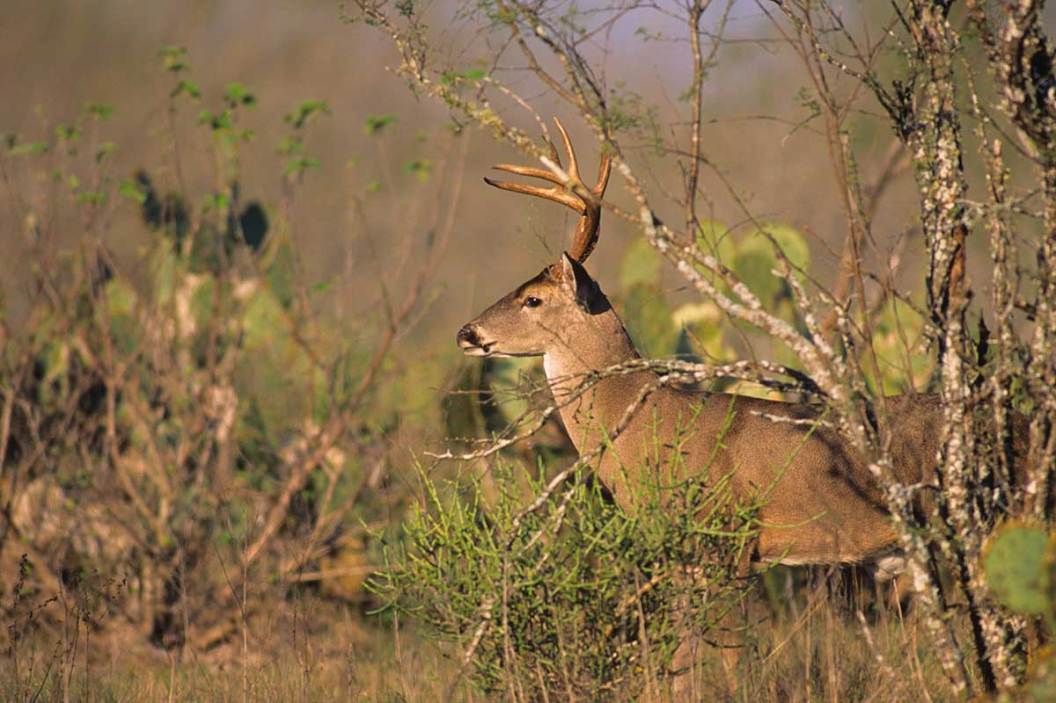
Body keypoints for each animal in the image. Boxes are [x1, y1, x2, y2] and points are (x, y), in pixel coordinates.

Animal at [454, 119, 1010, 693]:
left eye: (533, 299)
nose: (466, 332)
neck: (647, 428)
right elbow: (682, 655)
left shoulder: (730, 536)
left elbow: (727, 654)